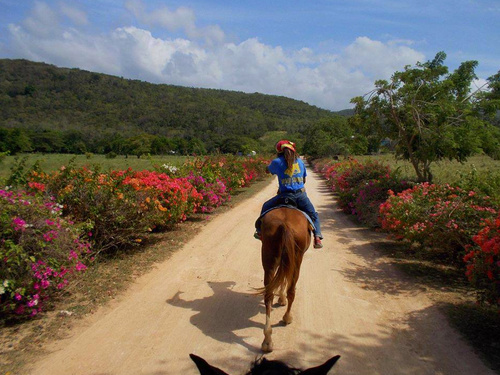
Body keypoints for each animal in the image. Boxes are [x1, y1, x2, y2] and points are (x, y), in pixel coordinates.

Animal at [258, 207, 312, 354]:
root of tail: (284, 224)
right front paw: (282, 299)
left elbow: (280, 278)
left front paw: (280, 298)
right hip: (297, 259)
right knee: (291, 291)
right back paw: (287, 318)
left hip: (269, 257)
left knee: (268, 295)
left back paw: (267, 340)